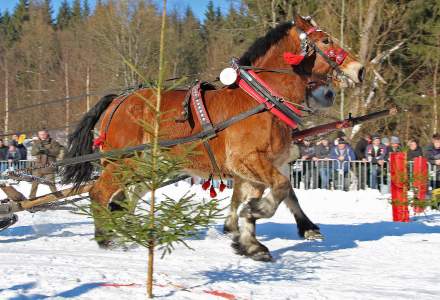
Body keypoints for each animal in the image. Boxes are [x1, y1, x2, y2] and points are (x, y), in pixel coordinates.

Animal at [63, 15, 362, 262]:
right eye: (326, 40)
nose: (359, 69)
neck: (261, 101)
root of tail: (118, 100)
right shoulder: (247, 160)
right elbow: (279, 188)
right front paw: (256, 213)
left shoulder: (260, 166)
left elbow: (267, 195)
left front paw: (250, 242)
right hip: (123, 163)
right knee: (99, 193)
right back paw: (106, 238)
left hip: (148, 168)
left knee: (122, 200)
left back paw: (128, 231)